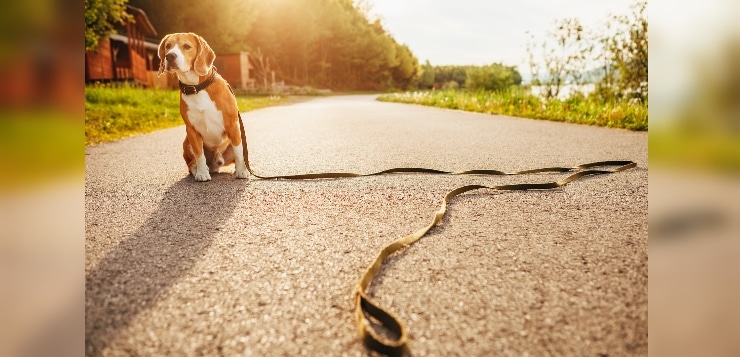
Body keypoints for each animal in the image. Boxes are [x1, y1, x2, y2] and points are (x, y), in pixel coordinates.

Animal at [156, 32, 249, 181]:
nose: (169, 56)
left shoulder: (233, 126)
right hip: (187, 142)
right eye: (168, 46)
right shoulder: (192, 130)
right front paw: (202, 173)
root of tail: (215, 163)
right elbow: (199, 155)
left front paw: (241, 171)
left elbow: (239, 151)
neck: (196, 87)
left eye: (186, 46)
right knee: (191, 163)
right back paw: (199, 169)